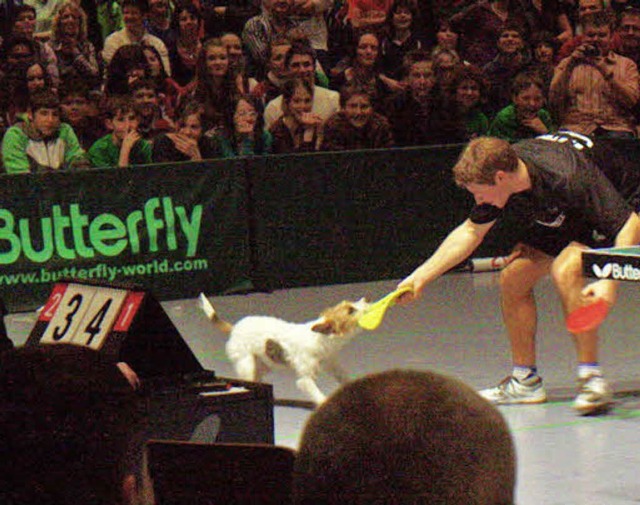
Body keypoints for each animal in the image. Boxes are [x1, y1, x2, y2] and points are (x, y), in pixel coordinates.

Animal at [200, 294, 370, 404]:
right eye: (351, 311)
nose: (366, 300)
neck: (320, 338)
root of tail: (234, 328)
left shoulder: (333, 365)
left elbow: (345, 378)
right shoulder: (305, 379)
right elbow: (319, 395)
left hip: (264, 364)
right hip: (247, 365)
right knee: (249, 379)